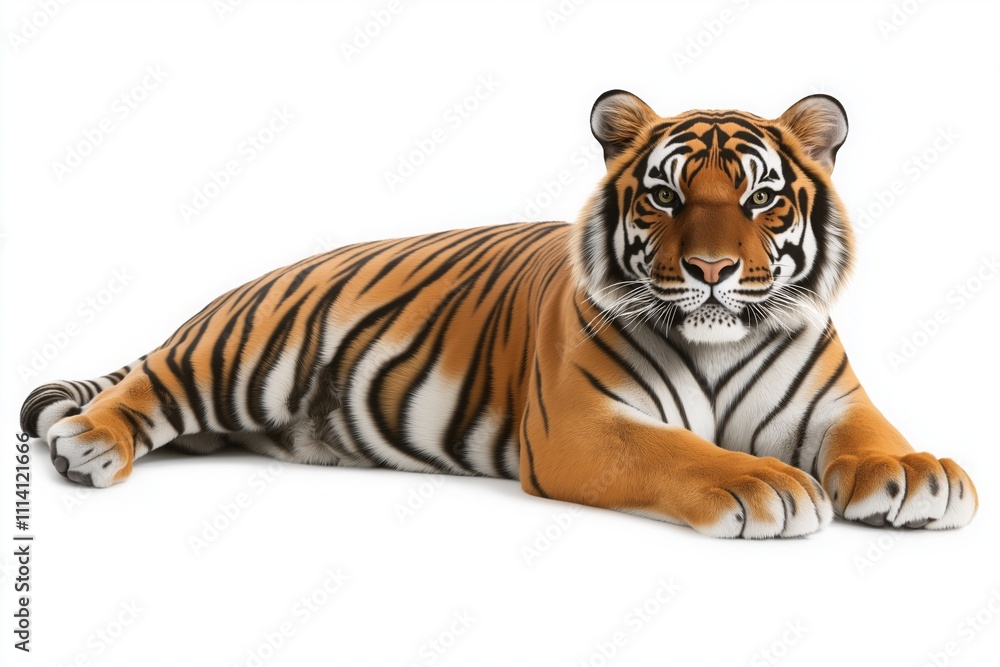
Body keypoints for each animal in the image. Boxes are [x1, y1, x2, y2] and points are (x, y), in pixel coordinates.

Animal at [20, 90, 977, 539]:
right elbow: (684, 452)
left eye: (762, 200)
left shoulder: (831, 403)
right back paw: (88, 442)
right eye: (665, 196)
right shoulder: (584, 424)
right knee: (147, 384)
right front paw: (765, 483)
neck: (719, 343)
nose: (712, 270)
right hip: (232, 353)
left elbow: (877, 438)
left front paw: (921, 475)